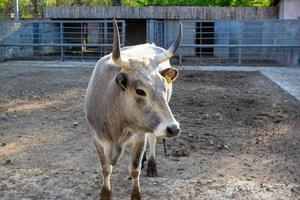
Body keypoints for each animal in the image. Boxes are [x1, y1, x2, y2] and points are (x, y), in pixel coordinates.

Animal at [85, 19, 183, 200]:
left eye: (164, 86)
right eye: (140, 91)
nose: (173, 128)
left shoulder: (139, 136)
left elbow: (134, 168)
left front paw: (136, 193)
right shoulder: (97, 137)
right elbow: (105, 168)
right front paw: (105, 193)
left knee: (152, 139)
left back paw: (151, 165)